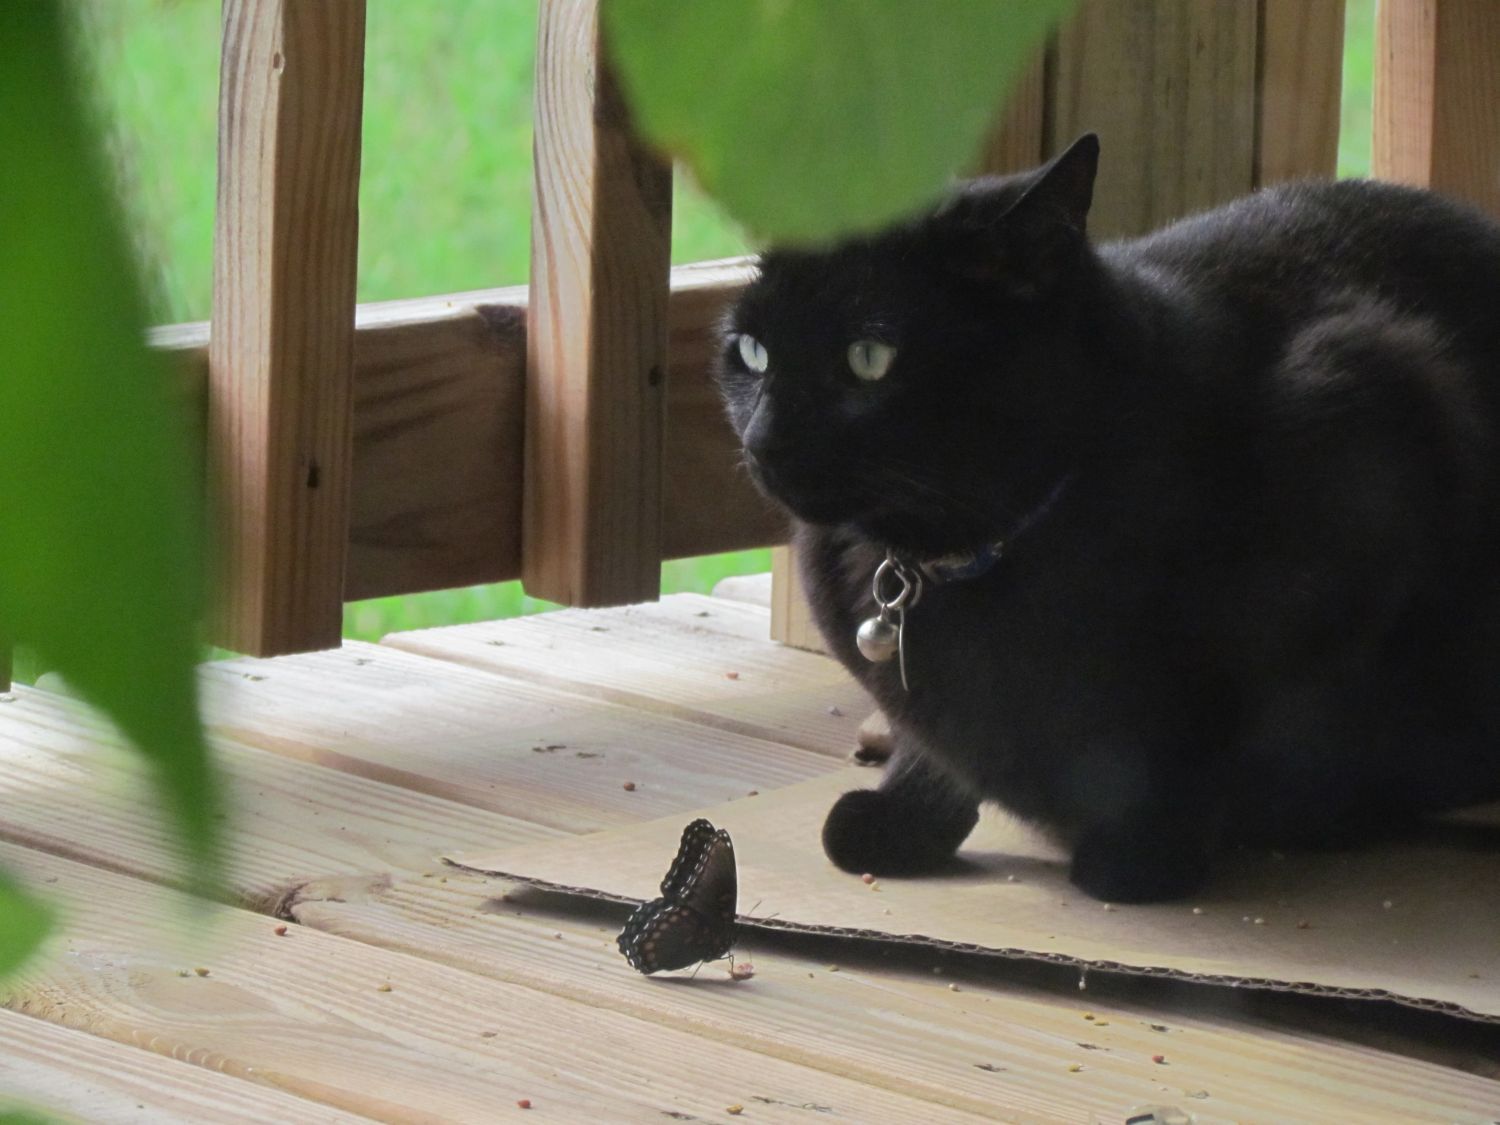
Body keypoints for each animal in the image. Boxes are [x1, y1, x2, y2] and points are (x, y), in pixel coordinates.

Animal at [711, 134, 1500, 906]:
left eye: (868, 358)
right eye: (752, 351)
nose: (765, 442)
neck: (947, 558)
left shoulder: (1369, 417)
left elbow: (1202, 731)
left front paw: (1141, 857)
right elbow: (941, 742)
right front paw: (908, 819)